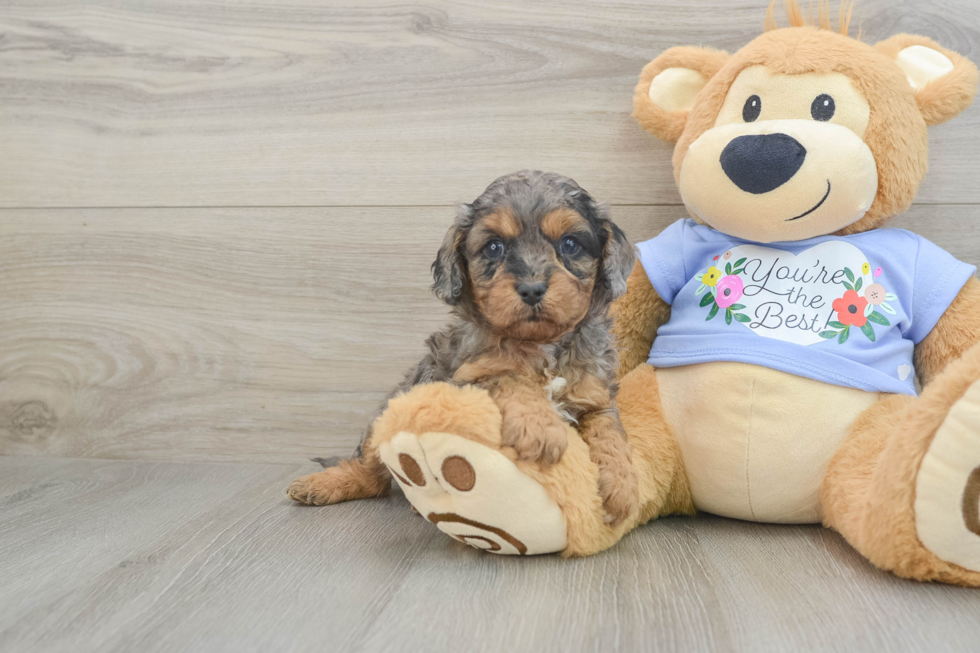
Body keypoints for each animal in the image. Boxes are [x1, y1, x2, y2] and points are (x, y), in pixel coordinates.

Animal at [290, 171, 644, 524]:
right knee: (373, 472)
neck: (542, 344)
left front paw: (622, 486)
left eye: (570, 244)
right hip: (388, 415)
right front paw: (540, 427)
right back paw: (325, 484)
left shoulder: (595, 394)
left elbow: (610, 430)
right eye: (494, 247)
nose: (531, 289)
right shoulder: (465, 381)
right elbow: (509, 378)